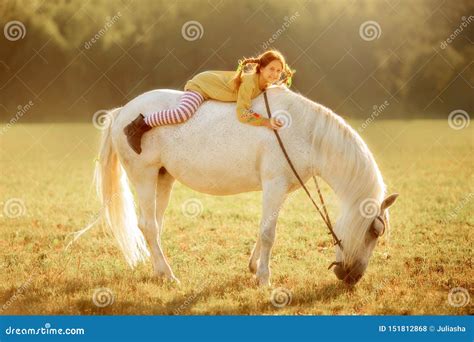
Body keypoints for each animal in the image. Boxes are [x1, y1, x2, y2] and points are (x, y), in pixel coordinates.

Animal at [94, 85, 398, 286]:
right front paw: (264, 278)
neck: (303, 130)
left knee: (153, 225)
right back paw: (169, 275)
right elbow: (268, 233)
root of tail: (123, 113)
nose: (352, 277)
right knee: (148, 225)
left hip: (162, 178)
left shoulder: (280, 190)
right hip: (144, 177)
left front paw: (254, 267)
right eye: (374, 232)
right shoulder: (274, 185)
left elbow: (264, 229)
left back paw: (159, 271)